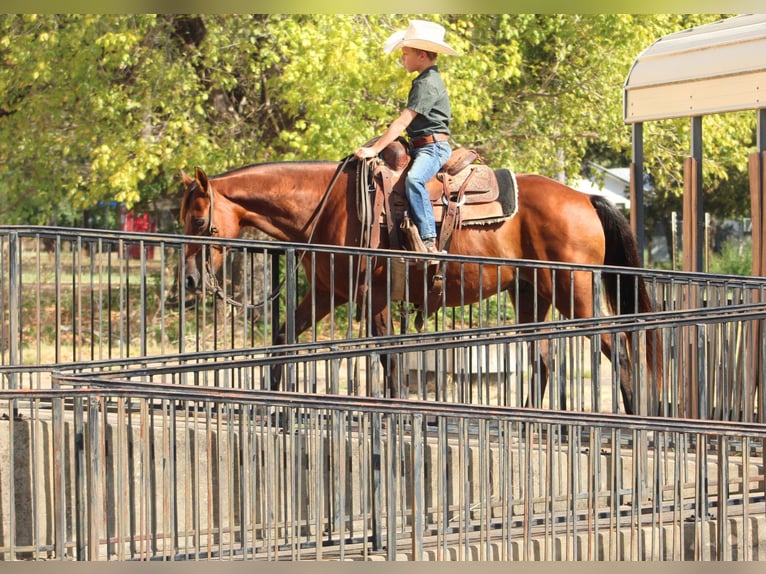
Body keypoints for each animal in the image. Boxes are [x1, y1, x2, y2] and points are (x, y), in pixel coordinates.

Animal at [179, 144, 661, 414]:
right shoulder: (326, 293)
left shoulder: (370, 296)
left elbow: (388, 356)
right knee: (543, 359)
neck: (328, 205)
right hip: (531, 294)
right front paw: (274, 401)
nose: (190, 281)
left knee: (618, 349)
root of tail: (584, 197)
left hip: (574, 292)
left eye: (199, 221)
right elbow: (283, 336)